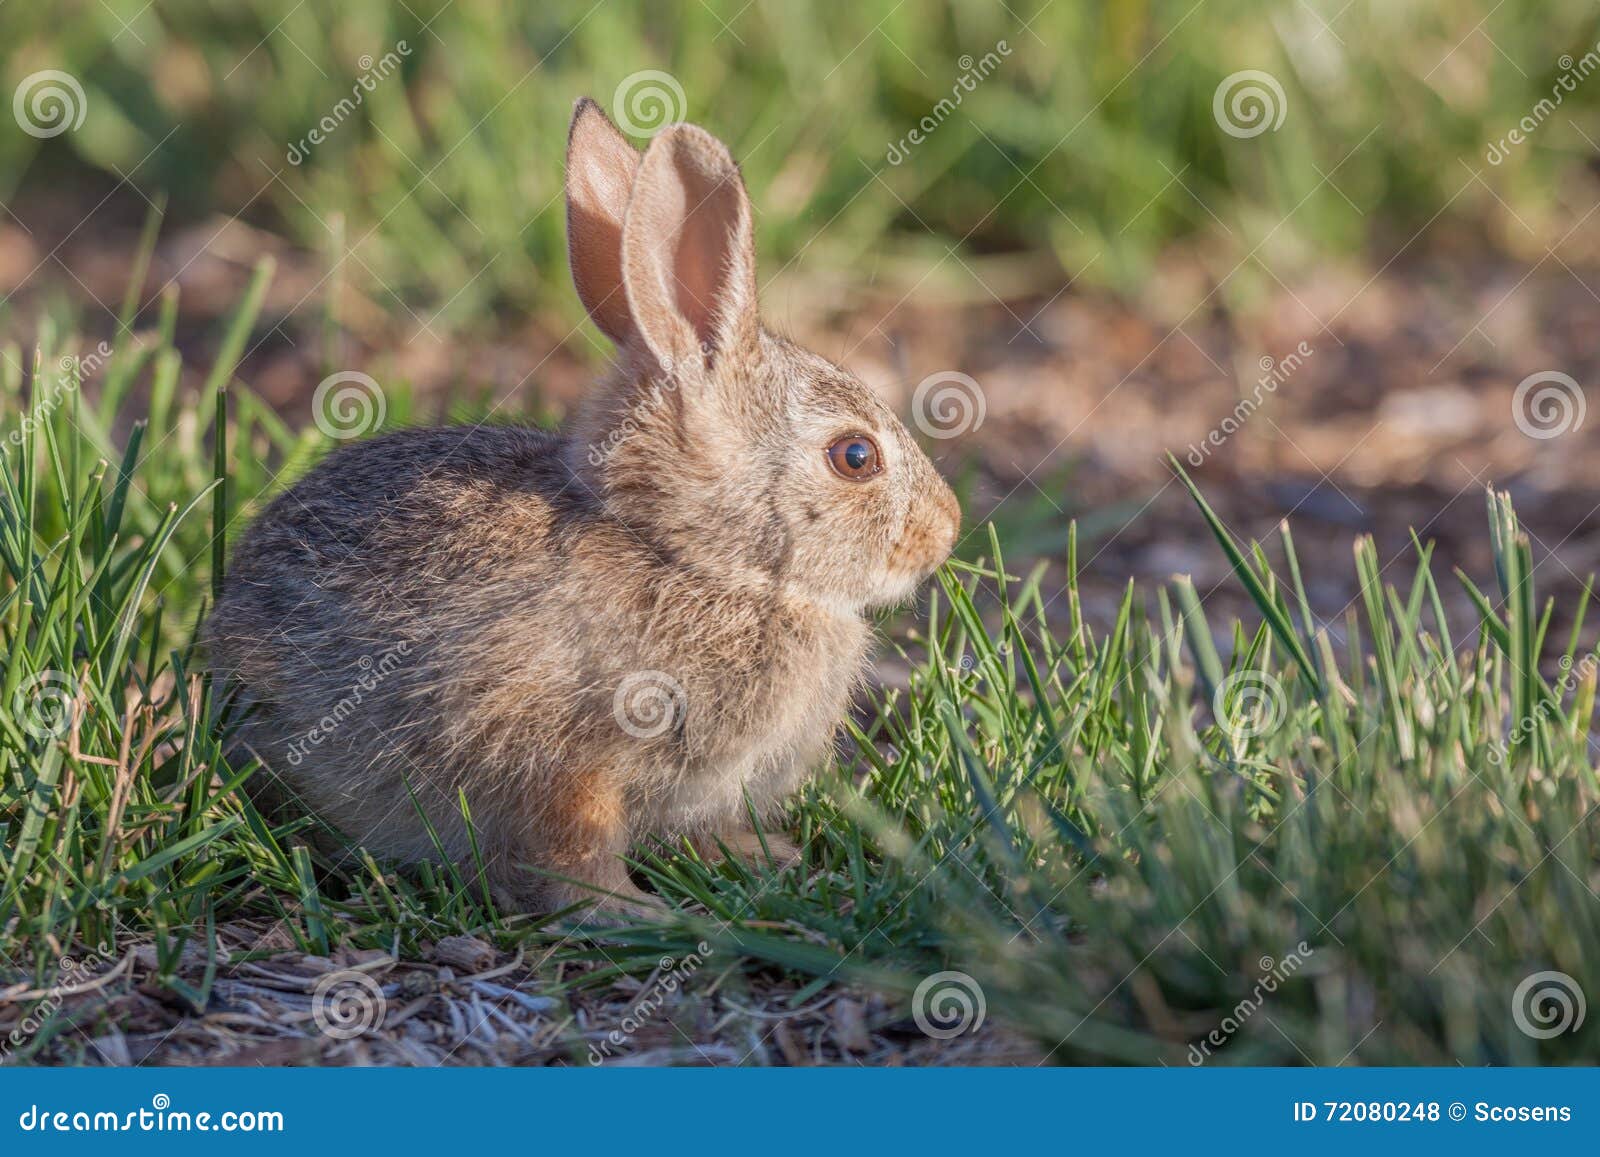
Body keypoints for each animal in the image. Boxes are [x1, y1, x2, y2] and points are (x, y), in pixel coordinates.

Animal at [205, 97, 961, 915]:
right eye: (855, 456)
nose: (946, 530)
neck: (693, 561)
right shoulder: (560, 758)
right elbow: (574, 845)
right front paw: (631, 910)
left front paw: (771, 859)